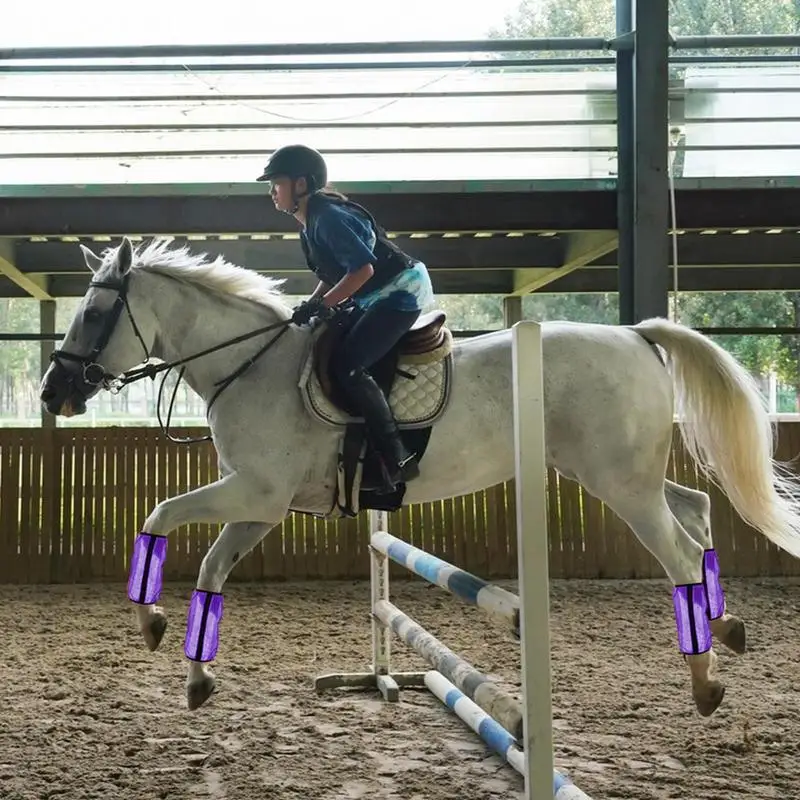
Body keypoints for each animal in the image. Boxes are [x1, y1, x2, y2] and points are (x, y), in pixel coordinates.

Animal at [40, 236, 800, 712]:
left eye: (98, 313)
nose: (54, 393)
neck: (249, 363)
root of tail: (638, 334)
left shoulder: (254, 492)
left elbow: (159, 514)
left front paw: (150, 622)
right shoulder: (258, 505)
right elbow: (210, 571)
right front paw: (195, 675)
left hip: (620, 484)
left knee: (679, 552)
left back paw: (704, 683)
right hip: (620, 474)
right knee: (696, 510)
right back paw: (728, 626)